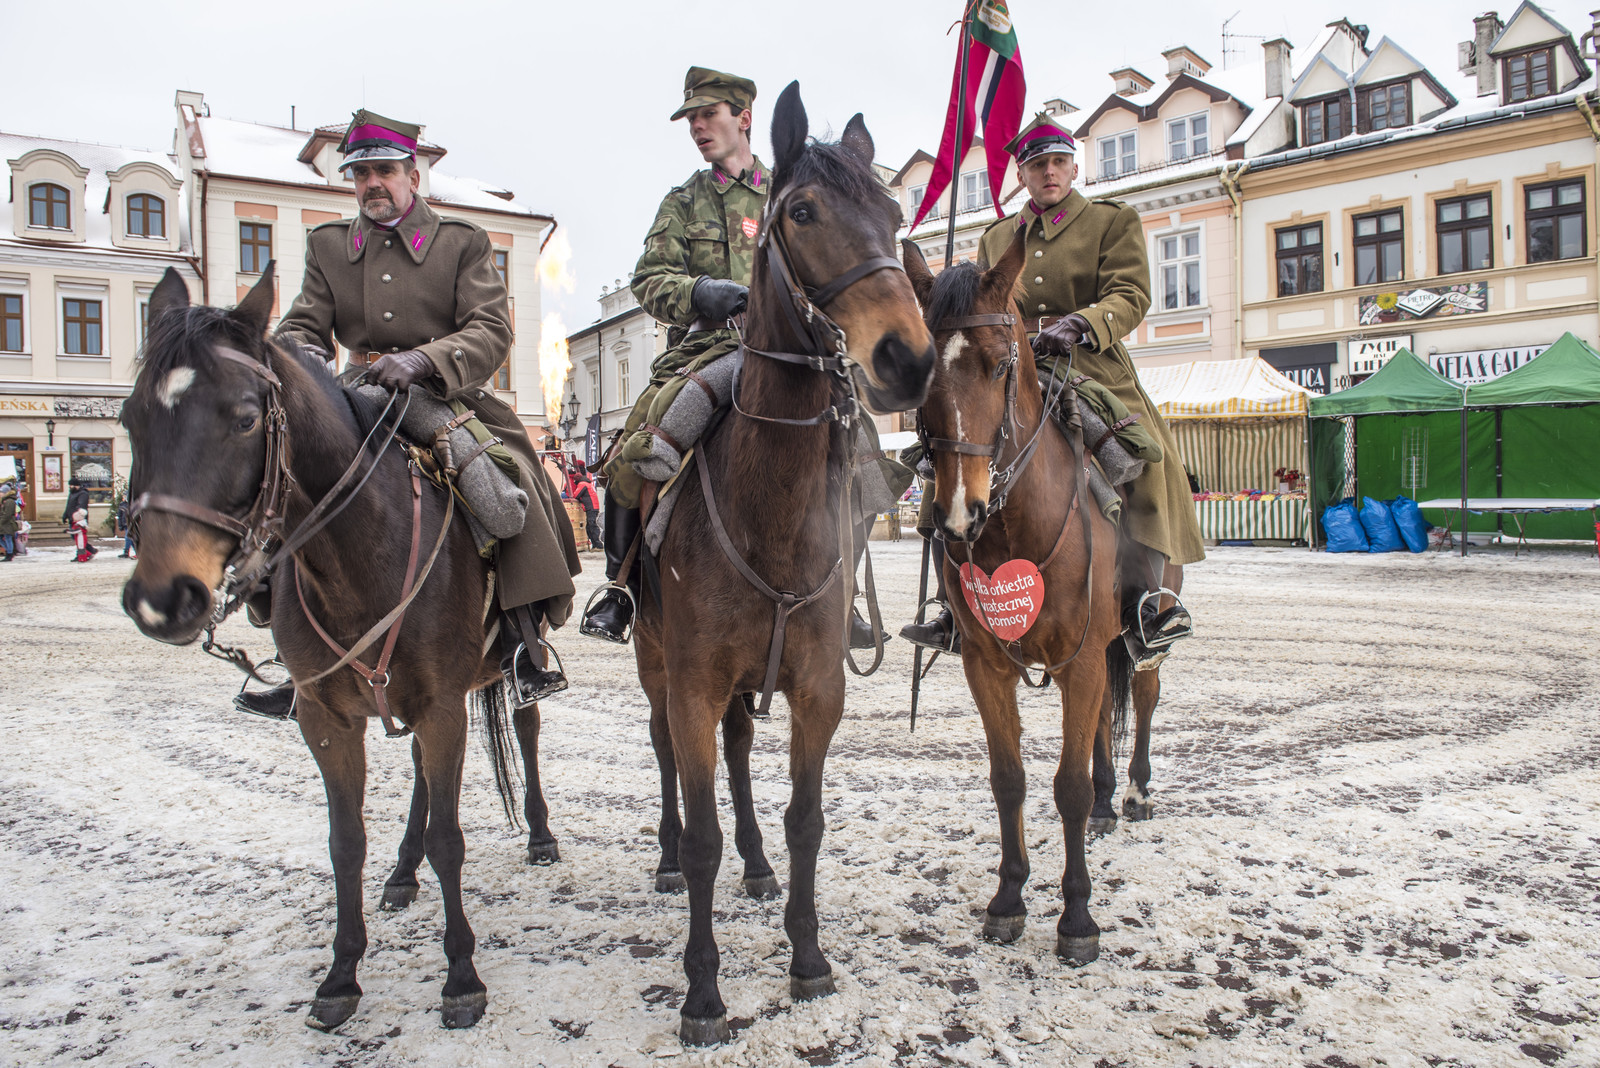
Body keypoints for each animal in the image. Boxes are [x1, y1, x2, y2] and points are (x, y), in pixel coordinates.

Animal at [119, 266, 554, 1032]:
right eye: (130, 419)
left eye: (244, 417)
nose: (161, 598)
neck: (356, 551)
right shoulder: (327, 718)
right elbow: (345, 841)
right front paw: (342, 973)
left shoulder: (445, 706)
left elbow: (451, 841)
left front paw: (461, 977)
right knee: (419, 776)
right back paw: (402, 871)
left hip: (505, 670)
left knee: (524, 730)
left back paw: (537, 835)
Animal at [634, 83, 936, 1045]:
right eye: (802, 211)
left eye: (895, 212)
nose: (907, 357)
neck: (766, 504)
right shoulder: (692, 680)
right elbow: (700, 835)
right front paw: (702, 993)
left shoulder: (816, 686)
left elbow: (807, 819)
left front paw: (806, 956)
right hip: (658, 665)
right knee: (668, 757)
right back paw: (665, 857)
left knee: (736, 757)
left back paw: (759, 866)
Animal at [902, 233, 1126, 964]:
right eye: (922, 376)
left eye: (1001, 365)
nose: (957, 512)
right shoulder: (987, 664)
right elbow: (1010, 780)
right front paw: (1009, 897)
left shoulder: (1082, 660)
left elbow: (1068, 786)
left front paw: (1077, 916)